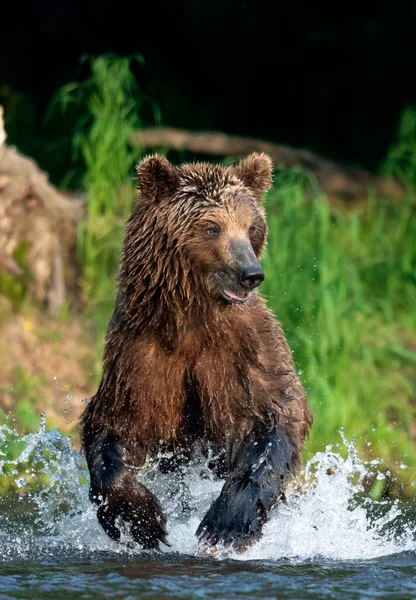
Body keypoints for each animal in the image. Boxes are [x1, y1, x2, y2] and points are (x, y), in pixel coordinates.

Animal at [81, 154, 312, 552]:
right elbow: (116, 425)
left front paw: (227, 523)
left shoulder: (246, 350)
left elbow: (276, 414)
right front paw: (144, 521)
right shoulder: (139, 355)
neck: (192, 319)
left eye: (251, 226)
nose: (251, 273)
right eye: (211, 227)